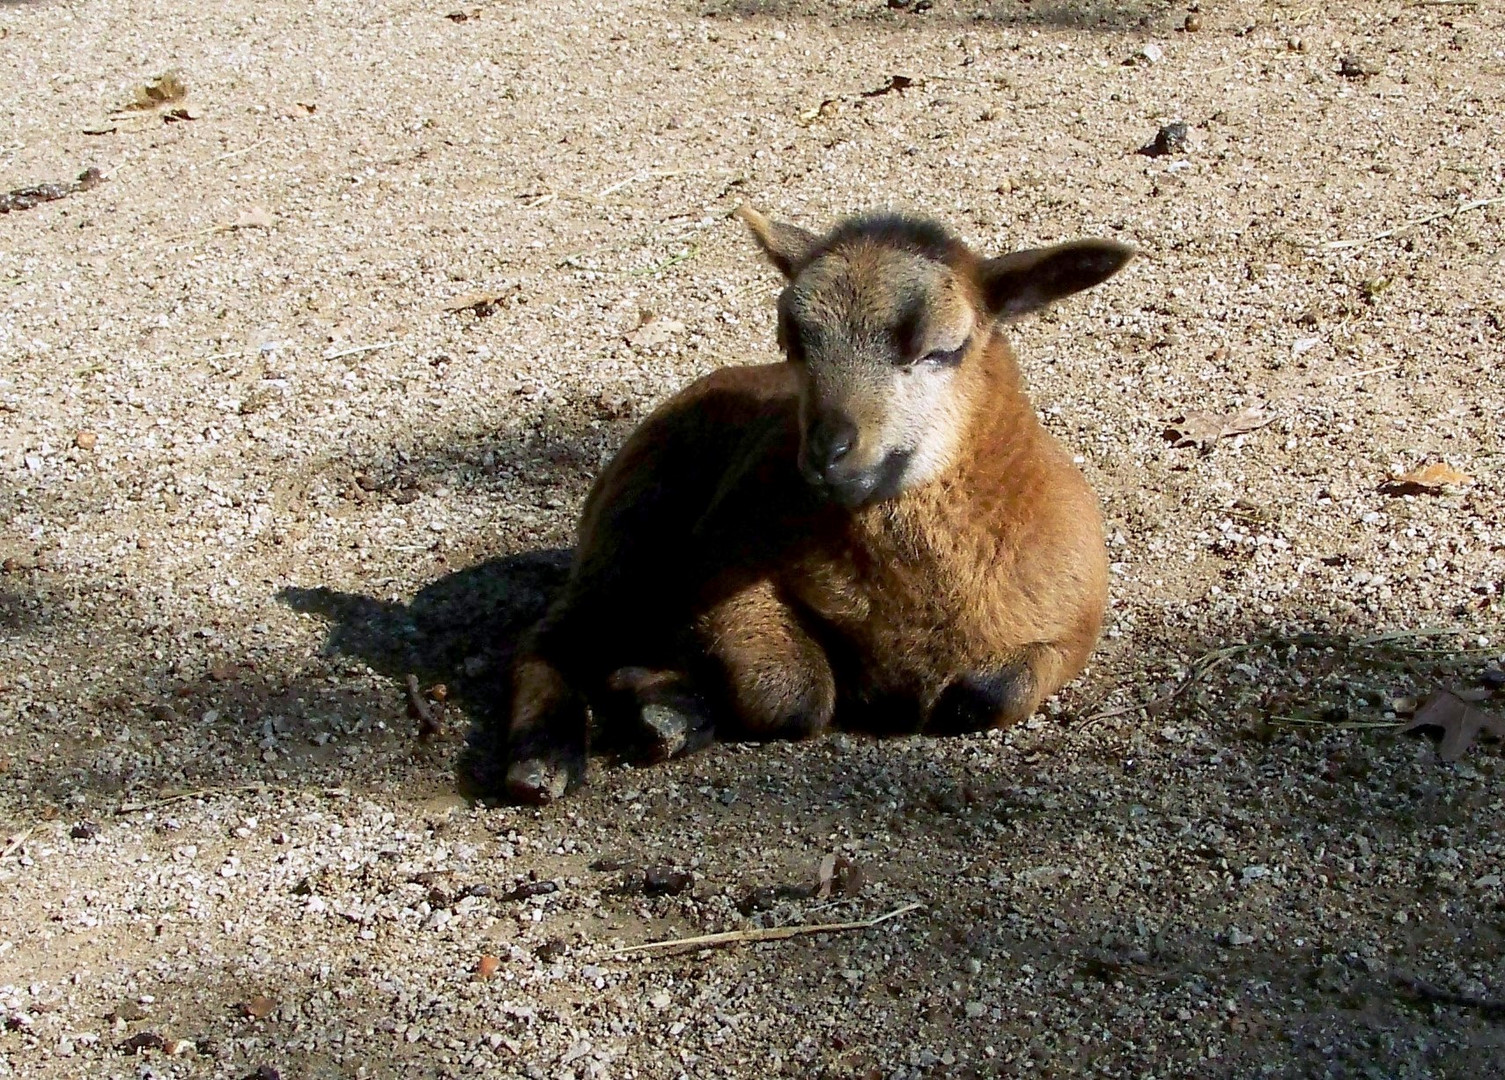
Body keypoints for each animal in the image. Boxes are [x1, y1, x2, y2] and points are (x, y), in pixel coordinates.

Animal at [505, 212, 1131, 806]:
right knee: (556, 636)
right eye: (794, 343)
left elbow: (982, 699)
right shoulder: (720, 564)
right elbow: (794, 696)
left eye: (942, 349)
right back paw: (545, 757)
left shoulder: (1070, 629)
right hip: (627, 523)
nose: (828, 449)